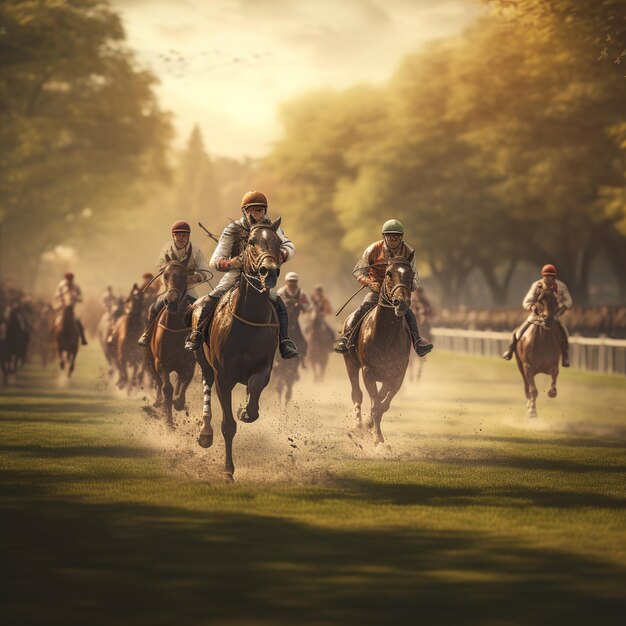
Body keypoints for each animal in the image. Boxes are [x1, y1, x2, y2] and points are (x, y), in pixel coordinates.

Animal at [146, 252, 195, 424]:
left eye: (185, 275)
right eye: (166, 275)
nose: (172, 302)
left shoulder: (189, 364)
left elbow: (183, 384)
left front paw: (179, 402)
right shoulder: (161, 363)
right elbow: (167, 388)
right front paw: (169, 423)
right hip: (149, 359)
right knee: (158, 382)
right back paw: (158, 402)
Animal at [195, 216, 282, 478]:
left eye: (278, 242)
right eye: (251, 242)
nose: (269, 271)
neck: (247, 319)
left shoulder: (264, 369)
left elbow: (254, 391)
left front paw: (246, 410)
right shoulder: (223, 376)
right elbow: (228, 425)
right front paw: (228, 471)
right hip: (204, 363)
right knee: (206, 384)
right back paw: (205, 432)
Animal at [344, 255, 412, 444]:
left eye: (411, 274)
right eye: (388, 273)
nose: (401, 303)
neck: (386, 336)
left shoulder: (397, 374)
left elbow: (383, 404)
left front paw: (373, 429)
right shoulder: (368, 372)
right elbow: (375, 403)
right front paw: (377, 439)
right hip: (351, 363)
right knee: (357, 394)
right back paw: (358, 426)